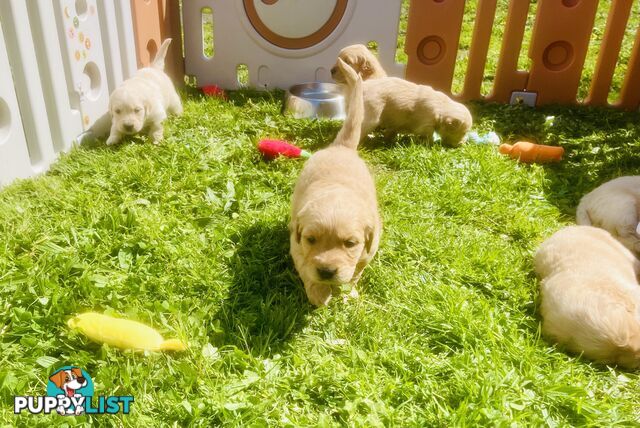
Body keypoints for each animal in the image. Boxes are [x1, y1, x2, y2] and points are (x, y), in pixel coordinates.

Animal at [292, 61, 384, 308]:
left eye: (350, 243)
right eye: (311, 239)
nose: (326, 271)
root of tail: (342, 147)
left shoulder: (369, 251)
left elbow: (356, 272)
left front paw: (347, 291)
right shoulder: (297, 246)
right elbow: (306, 267)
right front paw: (320, 293)